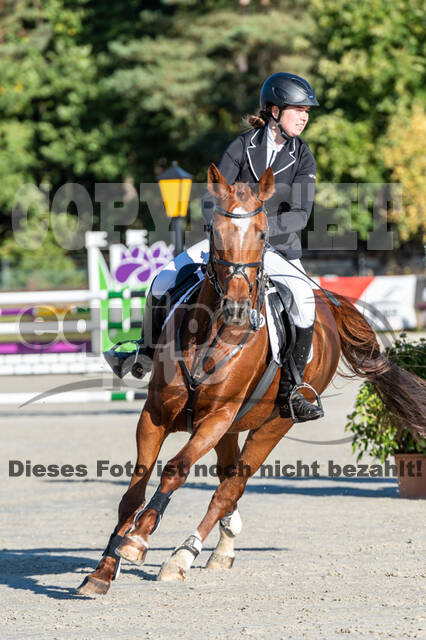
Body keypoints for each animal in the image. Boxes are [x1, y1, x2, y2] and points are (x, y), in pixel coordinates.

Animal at [77, 164, 426, 596]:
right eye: (216, 230)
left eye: (262, 233)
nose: (239, 310)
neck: (210, 333)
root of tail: (328, 302)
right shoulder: (156, 415)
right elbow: (133, 490)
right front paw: (103, 571)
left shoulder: (217, 418)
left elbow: (176, 470)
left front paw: (138, 540)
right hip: (230, 429)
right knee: (227, 482)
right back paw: (221, 546)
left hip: (272, 425)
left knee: (231, 487)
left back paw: (183, 556)